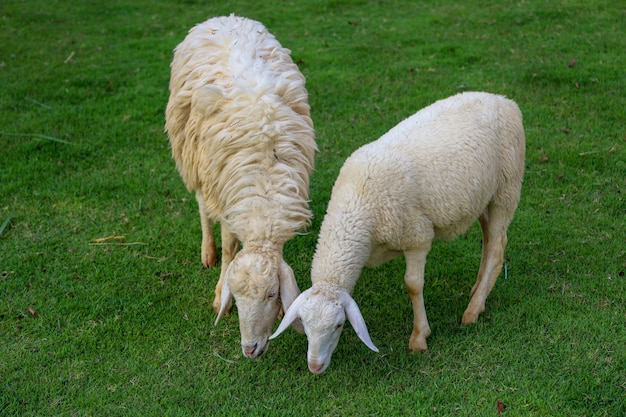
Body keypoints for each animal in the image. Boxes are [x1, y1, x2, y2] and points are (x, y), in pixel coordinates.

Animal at [163, 13, 314, 358]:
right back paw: (208, 251)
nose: (250, 349)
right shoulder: (226, 197)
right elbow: (230, 248)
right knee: (201, 205)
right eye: (237, 294)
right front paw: (220, 293)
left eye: (272, 293)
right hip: (197, 160)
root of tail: (224, 17)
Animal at [270, 92, 524, 374]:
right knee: (490, 240)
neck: (357, 207)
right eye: (304, 324)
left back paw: (473, 310)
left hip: (506, 188)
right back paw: (479, 289)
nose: (315, 366)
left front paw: (419, 337)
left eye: (339, 325)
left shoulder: (417, 236)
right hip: (483, 197)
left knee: (496, 247)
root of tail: (503, 100)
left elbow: (413, 285)